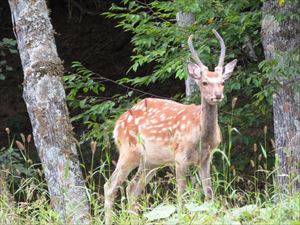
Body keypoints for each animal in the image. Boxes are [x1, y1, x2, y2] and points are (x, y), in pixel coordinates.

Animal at [104, 29, 238, 224]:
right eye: (204, 82)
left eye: (222, 82)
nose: (218, 95)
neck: (201, 137)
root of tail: (117, 125)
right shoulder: (180, 156)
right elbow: (182, 194)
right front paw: (182, 216)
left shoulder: (206, 158)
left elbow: (209, 194)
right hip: (129, 150)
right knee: (110, 185)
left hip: (150, 161)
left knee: (132, 188)